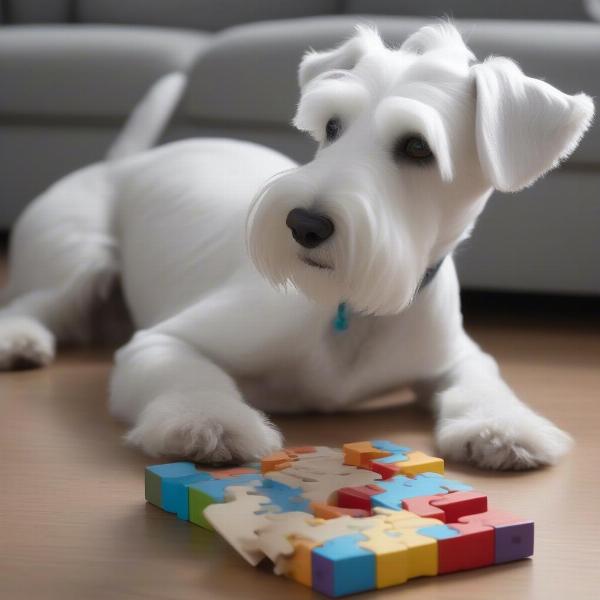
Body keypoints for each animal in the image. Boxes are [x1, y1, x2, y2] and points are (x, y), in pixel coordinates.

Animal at [0, 24, 592, 468]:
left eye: (418, 147)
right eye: (331, 127)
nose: (303, 224)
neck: (355, 306)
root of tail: (123, 163)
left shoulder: (458, 355)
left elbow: (482, 382)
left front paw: (504, 427)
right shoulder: (162, 342)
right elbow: (190, 375)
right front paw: (209, 423)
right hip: (77, 260)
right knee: (31, 303)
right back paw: (20, 341)